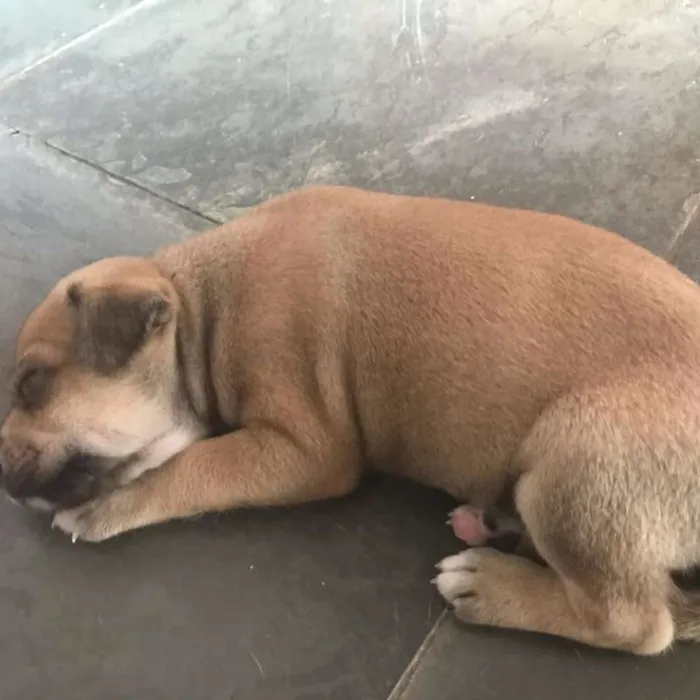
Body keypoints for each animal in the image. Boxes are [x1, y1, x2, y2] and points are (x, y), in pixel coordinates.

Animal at [1, 187, 700, 656]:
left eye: (31, 385)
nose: (2, 470)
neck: (205, 305)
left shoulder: (303, 448)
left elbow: (194, 464)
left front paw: (108, 504)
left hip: (577, 461)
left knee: (638, 622)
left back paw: (494, 586)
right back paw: (491, 521)